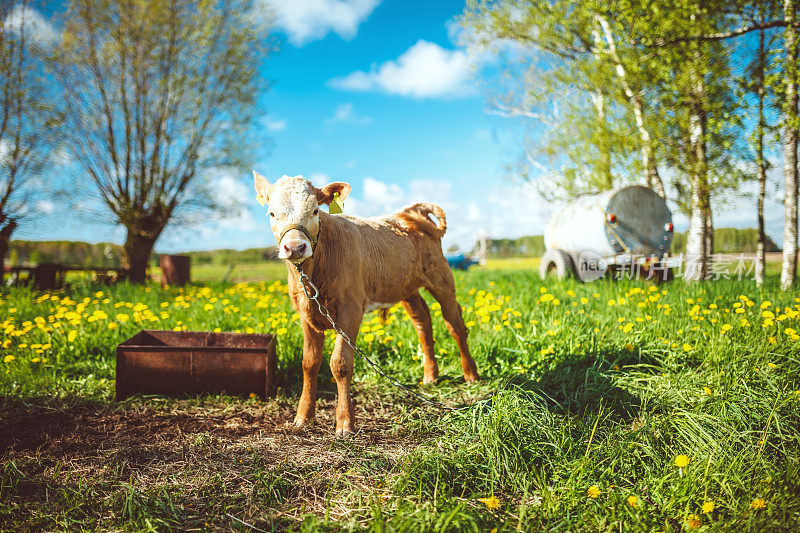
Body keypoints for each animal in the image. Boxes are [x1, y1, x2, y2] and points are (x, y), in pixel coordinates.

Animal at [253, 172, 478, 434]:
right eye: (272, 213)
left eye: (315, 211)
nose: (295, 247)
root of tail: (409, 213)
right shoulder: (305, 312)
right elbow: (309, 363)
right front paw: (303, 416)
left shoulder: (350, 308)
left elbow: (340, 363)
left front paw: (345, 422)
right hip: (406, 288)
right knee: (422, 321)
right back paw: (430, 376)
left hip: (441, 278)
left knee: (454, 324)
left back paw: (471, 375)